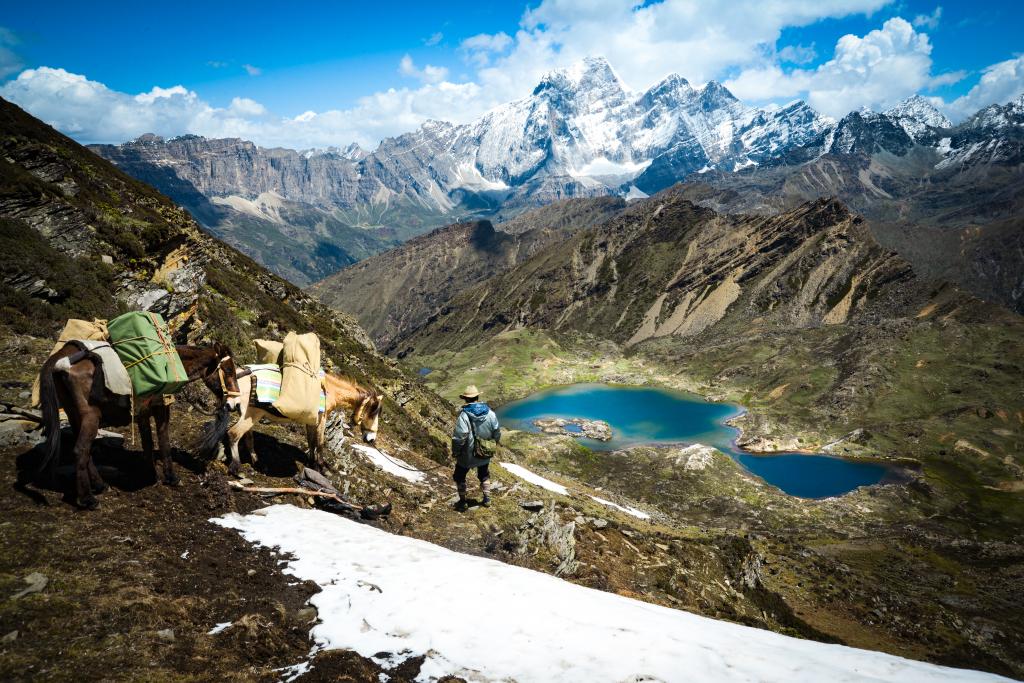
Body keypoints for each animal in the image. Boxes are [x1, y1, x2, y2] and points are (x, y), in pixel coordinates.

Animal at [37, 342, 240, 507]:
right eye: (229, 370)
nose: (235, 404)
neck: (174, 364)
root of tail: (62, 358)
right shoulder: (161, 410)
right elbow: (164, 441)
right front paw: (171, 478)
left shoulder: (143, 414)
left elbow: (148, 442)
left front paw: (151, 474)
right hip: (90, 417)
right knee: (80, 450)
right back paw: (87, 499)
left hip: (73, 414)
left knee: (85, 453)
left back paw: (100, 485)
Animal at [221, 368, 385, 475]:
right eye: (373, 413)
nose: (371, 439)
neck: (329, 391)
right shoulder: (321, 419)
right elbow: (320, 443)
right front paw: (321, 467)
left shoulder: (311, 421)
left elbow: (311, 441)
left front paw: (311, 462)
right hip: (251, 415)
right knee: (234, 434)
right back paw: (236, 467)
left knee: (248, 438)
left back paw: (257, 463)